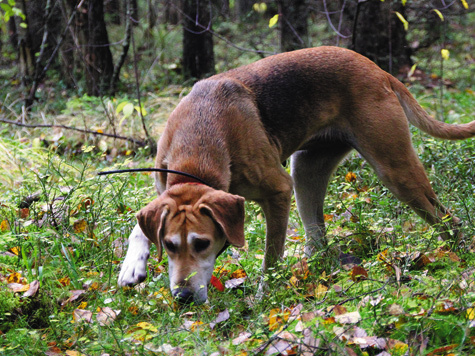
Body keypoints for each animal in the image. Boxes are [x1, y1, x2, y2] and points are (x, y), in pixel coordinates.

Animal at [117, 46, 474, 304]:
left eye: (202, 243)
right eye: (169, 245)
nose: (183, 297)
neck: (197, 152)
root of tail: (378, 70)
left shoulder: (278, 191)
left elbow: (271, 257)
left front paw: (264, 297)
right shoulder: (164, 191)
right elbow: (139, 228)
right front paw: (132, 265)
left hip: (394, 170)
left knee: (448, 220)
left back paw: (456, 260)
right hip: (306, 172)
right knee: (318, 244)